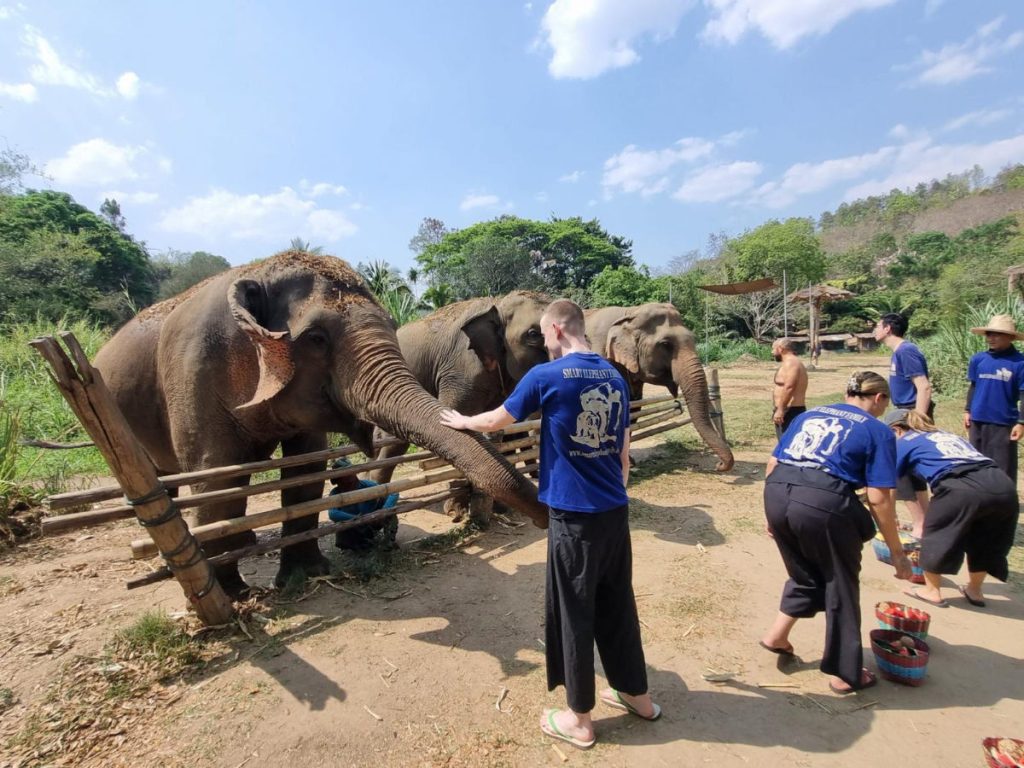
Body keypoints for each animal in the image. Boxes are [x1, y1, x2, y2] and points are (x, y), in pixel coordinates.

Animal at [367, 291, 551, 518]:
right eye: (533, 334)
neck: (497, 303)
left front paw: (499, 508)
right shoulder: (459, 372)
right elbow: (456, 428)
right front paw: (456, 512)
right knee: (394, 443)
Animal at [584, 303, 735, 472]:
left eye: (694, 339)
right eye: (665, 344)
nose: (719, 465)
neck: (630, 312)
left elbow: (633, 408)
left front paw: (629, 463)